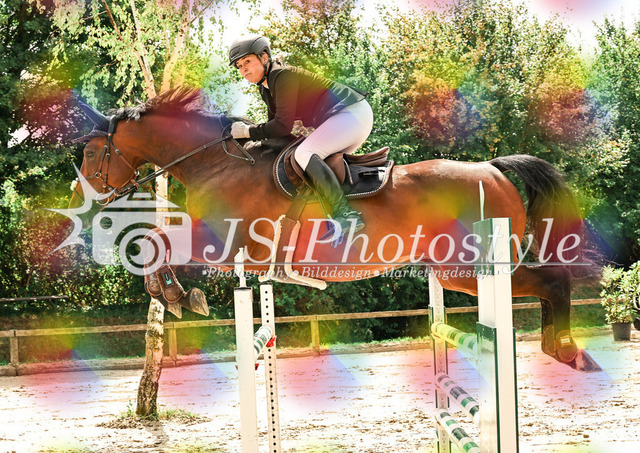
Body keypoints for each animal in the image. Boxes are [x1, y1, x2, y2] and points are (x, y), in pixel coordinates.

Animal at [68, 88, 600, 372]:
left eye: (92, 153)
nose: (84, 200)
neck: (217, 163)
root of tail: (492, 168)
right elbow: (156, 244)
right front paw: (177, 295)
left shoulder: (223, 241)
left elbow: (154, 243)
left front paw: (180, 296)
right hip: (459, 273)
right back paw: (562, 350)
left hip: (468, 270)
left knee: (554, 280)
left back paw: (567, 350)